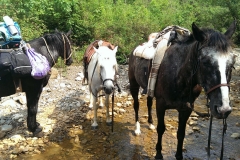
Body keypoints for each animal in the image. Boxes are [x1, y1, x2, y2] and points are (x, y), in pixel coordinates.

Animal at [155, 21, 237, 160]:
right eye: (205, 62)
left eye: (232, 64)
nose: (224, 109)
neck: (177, 74)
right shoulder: (160, 104)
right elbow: (160, 128)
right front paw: (159, 154)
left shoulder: (187, 109)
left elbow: (181, 133)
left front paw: (179, 155)